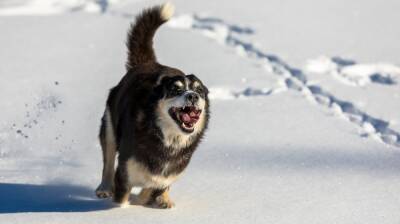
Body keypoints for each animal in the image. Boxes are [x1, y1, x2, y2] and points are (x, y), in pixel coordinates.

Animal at [95, 2, 211, 208]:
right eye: (175, 89)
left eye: (199, 91)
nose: (193, 96)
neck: (168, 140)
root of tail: (147, 64)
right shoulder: (124, 173)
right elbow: (123, 197)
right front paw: (122, 209)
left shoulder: (168, 174)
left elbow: (153, 186)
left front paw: (153, 199)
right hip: (109, 128)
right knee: (107, 162)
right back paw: (104, 188)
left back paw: (164, 199)